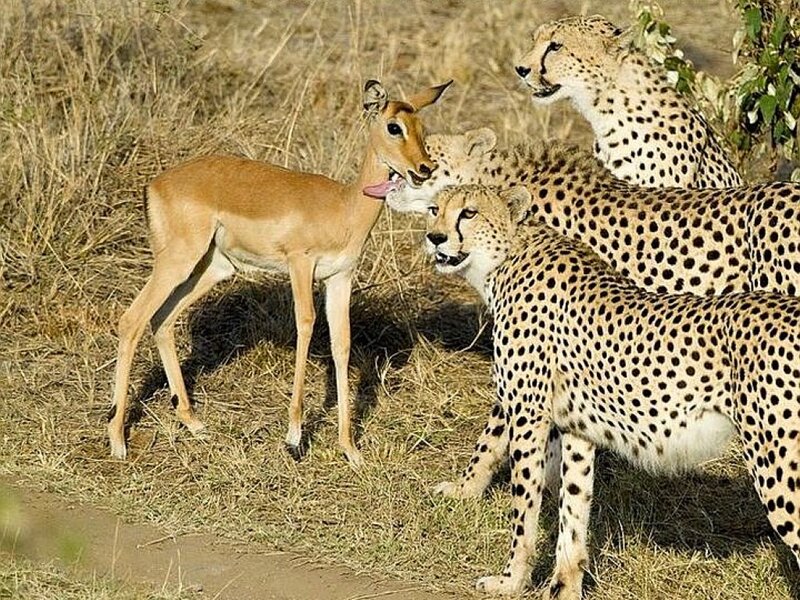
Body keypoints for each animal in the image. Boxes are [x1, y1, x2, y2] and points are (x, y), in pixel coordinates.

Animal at [108, 79, 451, 465]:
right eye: (394, 127)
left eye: (422, 127)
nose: (424, 167)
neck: (344, 207)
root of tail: (154, 185)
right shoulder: (300, 264)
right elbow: (306, 324)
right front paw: (294, 438)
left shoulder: (340, 278)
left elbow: (342, 344)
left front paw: (350, 448)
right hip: (177, 261)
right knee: (132, 320)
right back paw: (117, 440)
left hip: (211, 268)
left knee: (161, 320)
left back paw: (193, 422)